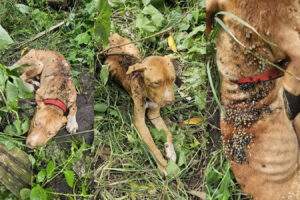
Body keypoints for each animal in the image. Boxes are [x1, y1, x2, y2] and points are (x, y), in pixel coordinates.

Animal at [105, 33, 177, 174]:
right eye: (156, 83)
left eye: (173, 79)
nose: (170, 102)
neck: (147, 94)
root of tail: (113, 36)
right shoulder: (139, 121)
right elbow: (151, 144)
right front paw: (162, 164)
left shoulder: (154, 114)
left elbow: (168, 132)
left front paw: (170, 149)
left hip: (133, 50)